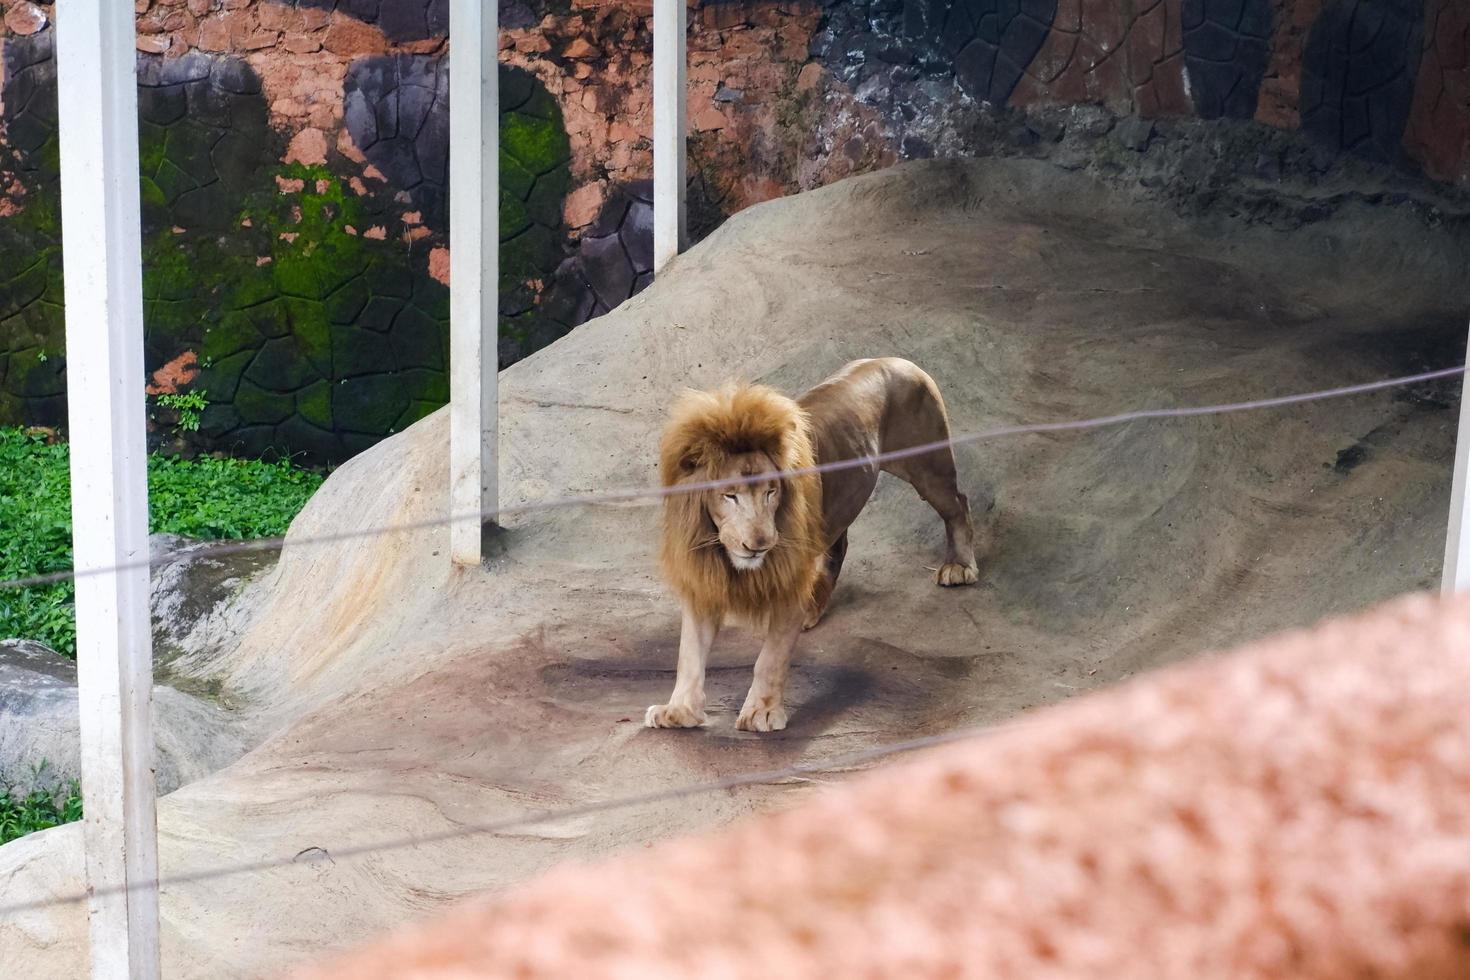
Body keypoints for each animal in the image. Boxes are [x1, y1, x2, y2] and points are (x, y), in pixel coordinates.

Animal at [640, 357, 976, 731]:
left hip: (927, 465)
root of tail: (897, 360)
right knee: (838, 546)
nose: (761, 543)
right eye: (730, 496)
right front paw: (678, 711)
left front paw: (762, 711)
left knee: (958, 504)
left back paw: (960, 566)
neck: (725, 551)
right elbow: (689, 655)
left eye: (771, 492)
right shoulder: (703, 580)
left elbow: (770, 658)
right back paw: (813, 606)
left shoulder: (788, 575)